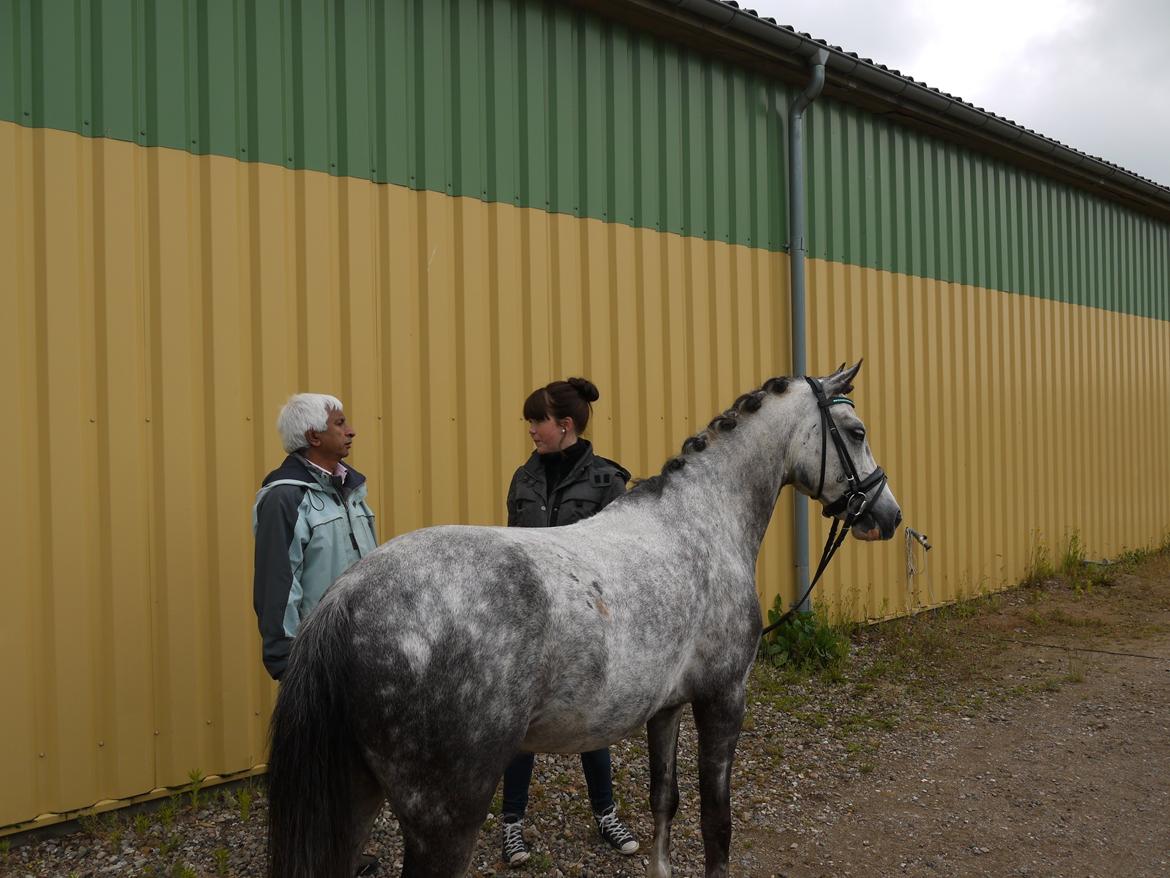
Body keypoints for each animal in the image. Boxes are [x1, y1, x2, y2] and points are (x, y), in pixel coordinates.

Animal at [266, 361, 901, 877]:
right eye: (857, 432)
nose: (889, 515)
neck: (700, 520)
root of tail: (346, 597)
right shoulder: (723, 698)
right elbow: (715, 819)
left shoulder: (666, 707)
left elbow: (664, 801)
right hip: (444, 816)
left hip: (356, 799)